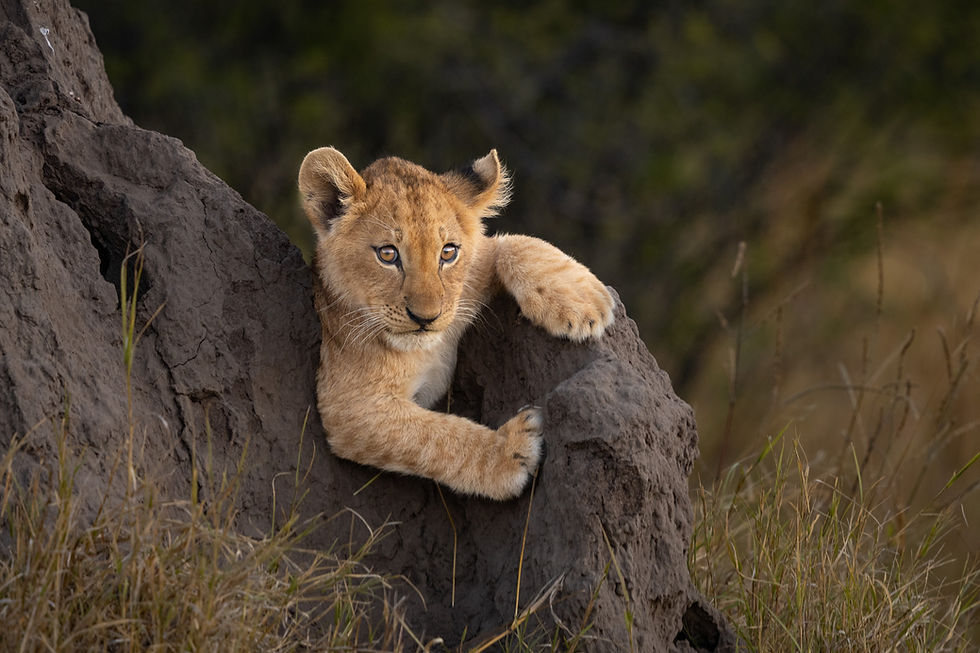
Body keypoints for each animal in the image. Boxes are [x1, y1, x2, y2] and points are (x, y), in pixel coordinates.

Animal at [298, 147, 614, 500]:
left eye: (448, 253)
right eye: (387, 254)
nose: (426, 317)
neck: (422, 350)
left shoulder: (469, 280)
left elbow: (512, 243)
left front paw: (583, 301)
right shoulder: (349, 404)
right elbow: (436, 437)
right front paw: (511, 451)